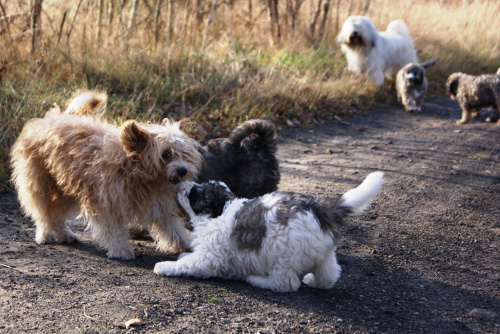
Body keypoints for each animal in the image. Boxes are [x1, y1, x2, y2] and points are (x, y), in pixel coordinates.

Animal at [9, 92, 202, 260]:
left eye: (185, 154)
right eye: (166, 154)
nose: (183, 170)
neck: (134, 170)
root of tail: (49, 118)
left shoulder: (157, 205)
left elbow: (173, 228)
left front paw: (188, 244)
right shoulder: (105, 203)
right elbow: (113, 229)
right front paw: (120, 250)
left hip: (67, 189)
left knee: (55, 214)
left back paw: (64, 234)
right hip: (40, 184)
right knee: (43, 212)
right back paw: (45, 234)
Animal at [154, 172, 384, 292]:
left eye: (193, 192)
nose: (181, 183)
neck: (219, 211)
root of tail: (319, 208)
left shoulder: (209, 257)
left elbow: (187, 264)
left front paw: (165, 266)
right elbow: (188, 257)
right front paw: (183, 254)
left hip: (282, 253)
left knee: (286, 283)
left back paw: (257, 280)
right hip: (324, 253)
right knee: (330, 274)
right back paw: (314, 281)